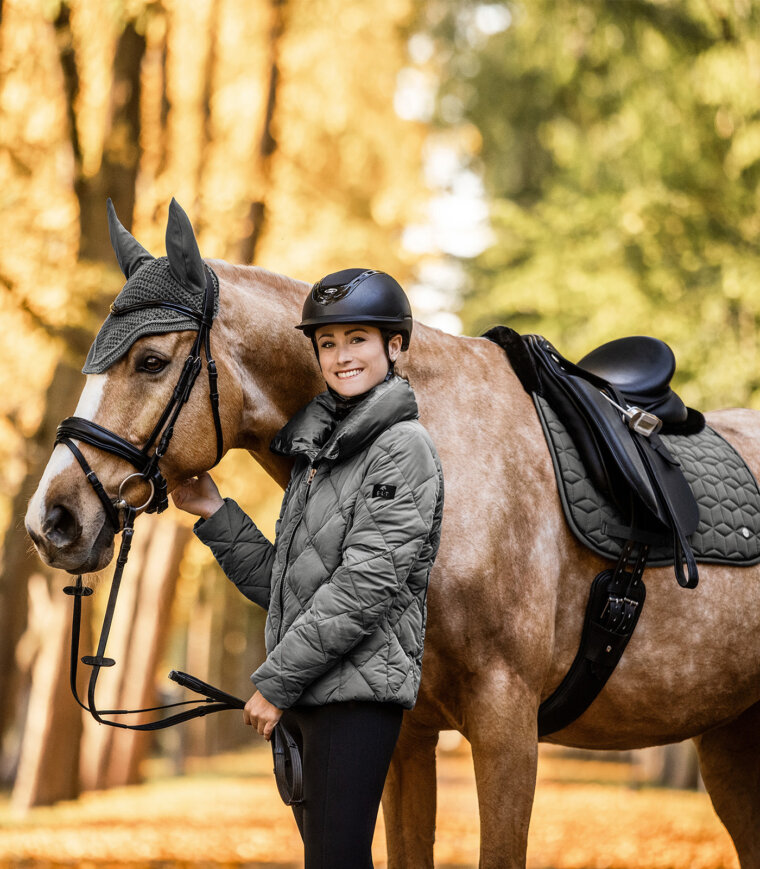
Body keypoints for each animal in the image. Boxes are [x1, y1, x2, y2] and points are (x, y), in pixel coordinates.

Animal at [23, 205, 760, 868]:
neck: (448, 457)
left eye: (150, 360)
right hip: (730, 736)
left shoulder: (507, 730)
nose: (50, 522)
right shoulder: (405, 734)